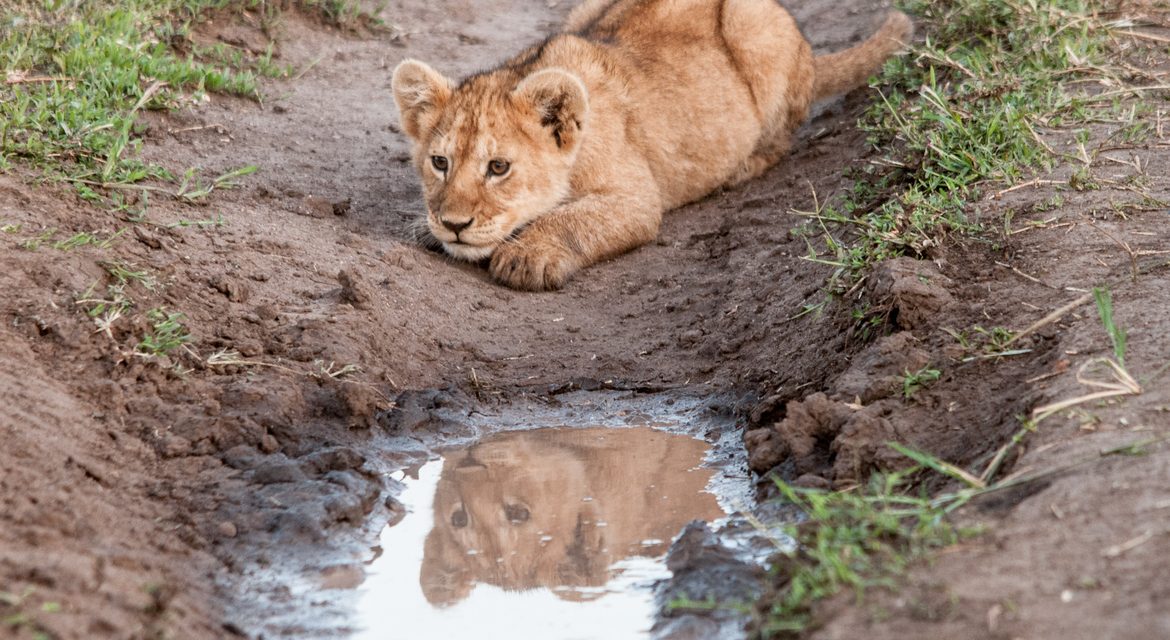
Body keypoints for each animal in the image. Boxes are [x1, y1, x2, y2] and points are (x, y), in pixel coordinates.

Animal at [391, 0, 912, 290]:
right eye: (439, 162)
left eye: (498, 167)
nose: (453, 224)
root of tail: (810, 54)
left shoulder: (638, 197)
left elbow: (573, 217)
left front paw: (527, 256)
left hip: (756, 29)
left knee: (782, 135)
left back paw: (740, 168)